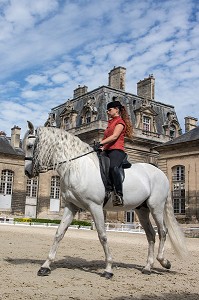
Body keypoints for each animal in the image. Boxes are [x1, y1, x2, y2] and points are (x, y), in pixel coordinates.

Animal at [22, 120, 187, 278]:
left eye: (30, 146)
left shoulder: (95, 207)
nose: (27, 172)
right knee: (151, 235)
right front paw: (45, 266)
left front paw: (108, 268)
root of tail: (160, 172)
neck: (77, 167)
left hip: (155, 207)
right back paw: (148, 267)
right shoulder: (71, 206)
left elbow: (102, 236)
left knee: (163, 231)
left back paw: (164, 261)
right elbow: (59, 234)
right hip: (142, 210)